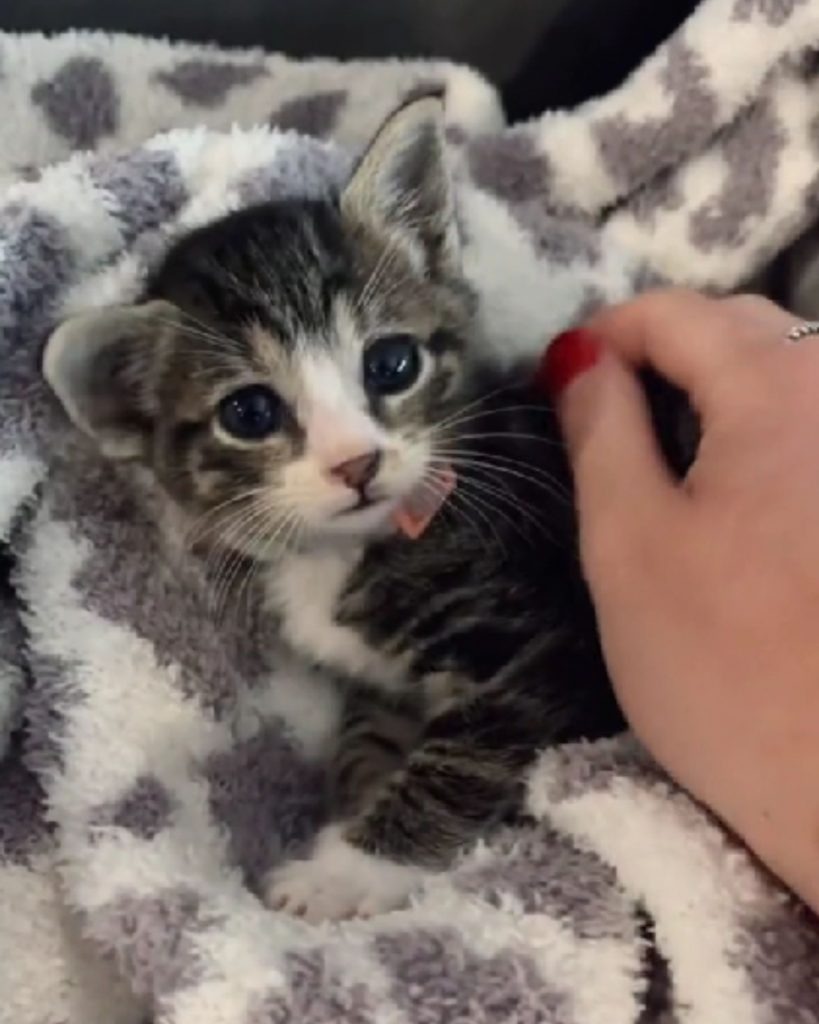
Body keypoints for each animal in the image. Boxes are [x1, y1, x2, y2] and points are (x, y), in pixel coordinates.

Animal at [41, 96, 692, 921]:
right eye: (249, 412)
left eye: (391, 364)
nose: (356, 462)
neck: (356, 550)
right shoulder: (387, 685)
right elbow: (369, 735)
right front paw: (354, 805)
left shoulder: (553, 645)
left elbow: (461, 757)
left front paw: (347, 869)